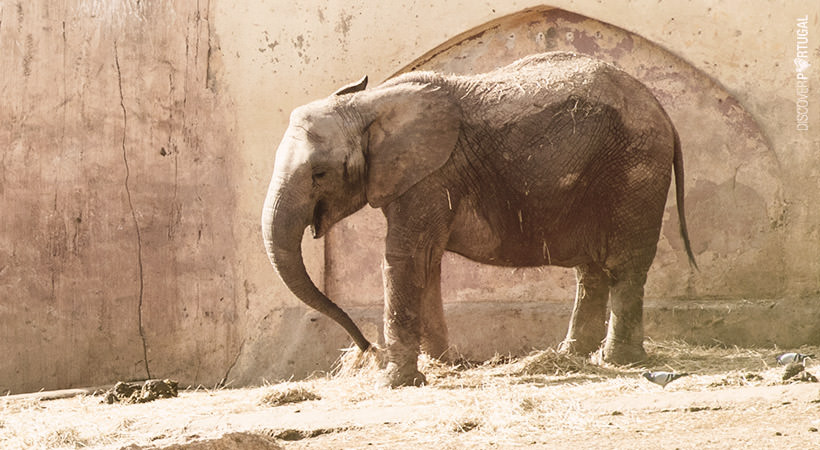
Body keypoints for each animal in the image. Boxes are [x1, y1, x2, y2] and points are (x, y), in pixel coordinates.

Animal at [262, 51, 696, 387]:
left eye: (320, 174)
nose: (366, 349)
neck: (369, 105)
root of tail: (662, 111)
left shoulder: (430, 175)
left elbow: (404, 259)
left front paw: (393, 382)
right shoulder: (423, 182)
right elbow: (427, 263)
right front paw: (445, 366)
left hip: (636, 168)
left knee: (625, 264)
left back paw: (618, 361)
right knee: (589, 270)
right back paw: (573, 356)